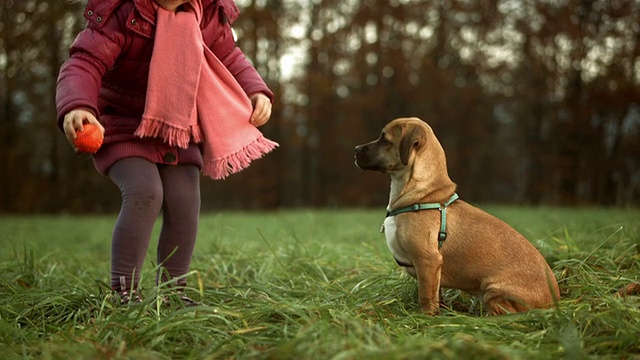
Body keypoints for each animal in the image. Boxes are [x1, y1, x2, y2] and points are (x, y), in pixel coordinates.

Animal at [356, 118, 560, 316]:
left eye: (384, 140)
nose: (356, 149)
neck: (424, 196)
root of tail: (553, 303)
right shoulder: (433, 271)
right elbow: (436, 294)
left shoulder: (428, 261)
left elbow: (426, 296)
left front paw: (426, 318)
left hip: (493, 289)